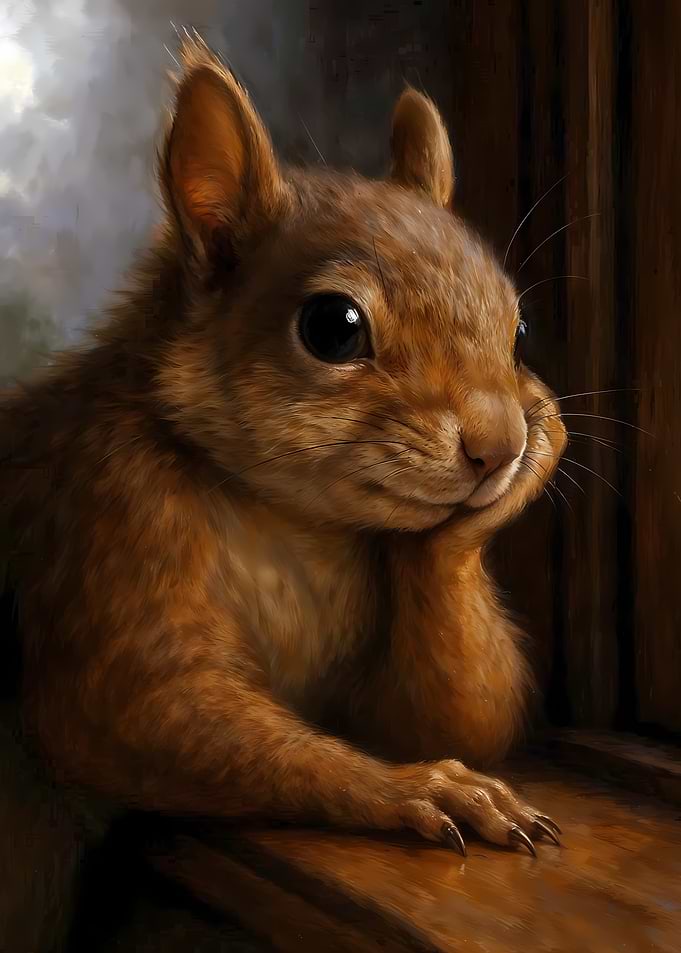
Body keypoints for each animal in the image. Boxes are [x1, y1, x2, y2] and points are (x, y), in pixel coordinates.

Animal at [0, 36, 567, 952]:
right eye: (332, 327)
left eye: (517, 328)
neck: (295, 518)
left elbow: (453, 714)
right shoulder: (104, 508)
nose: (502, 444)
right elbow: (120, 705)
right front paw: (425, 787)